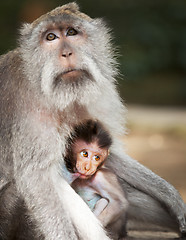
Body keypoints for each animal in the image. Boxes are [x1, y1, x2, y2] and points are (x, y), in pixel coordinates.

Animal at [0, 1, 185, 240]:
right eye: (50, 37)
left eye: (71, 32)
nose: (66, 53)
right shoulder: (29, 107)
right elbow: (36, 177)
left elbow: (108, 152)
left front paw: (170, 195)